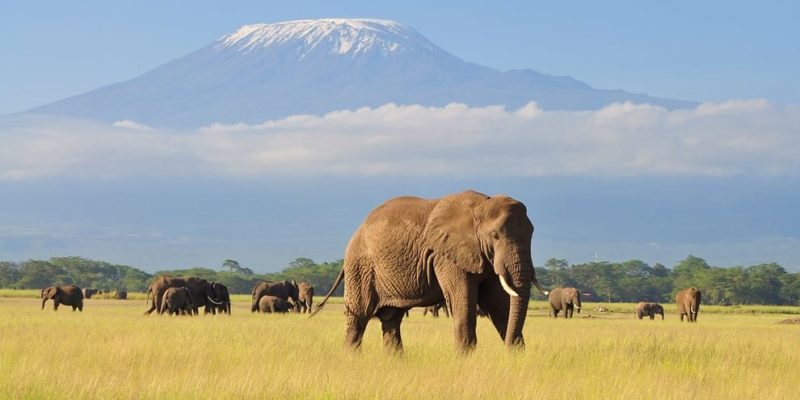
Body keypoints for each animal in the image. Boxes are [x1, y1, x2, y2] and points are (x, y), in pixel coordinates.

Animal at [312, 192, 552, 352]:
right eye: (495, 236)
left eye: (531, 234)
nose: (508, 349)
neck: (481, 205)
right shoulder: (446, 256)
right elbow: (463, 302)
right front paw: (466, 360)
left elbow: (499, 304)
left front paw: (516, 355)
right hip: (360, 266)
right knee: (359, 318)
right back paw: (351, 358)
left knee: (391, 320)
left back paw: (397, 363)